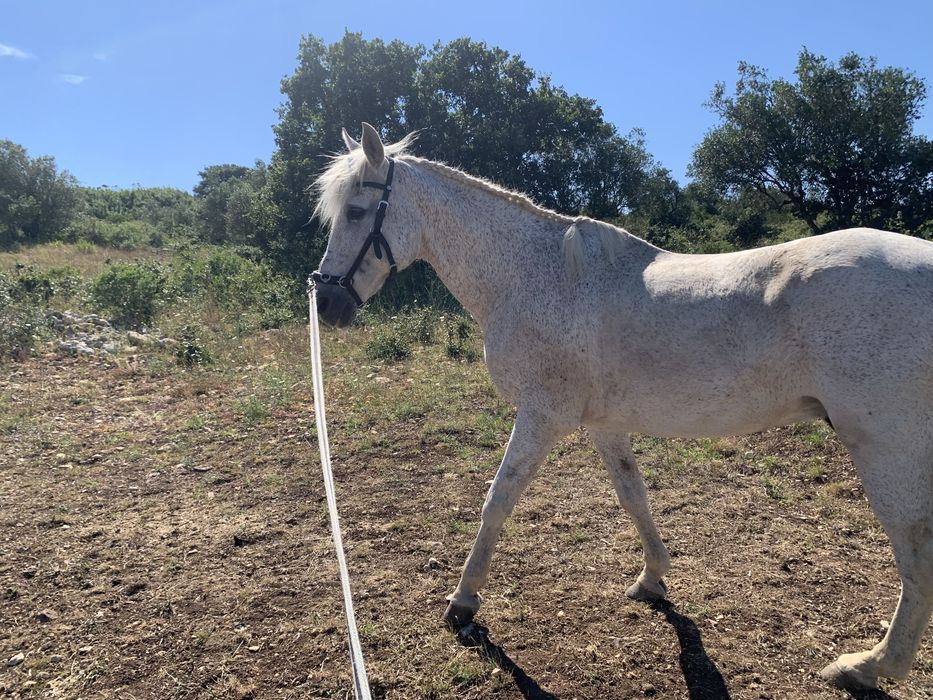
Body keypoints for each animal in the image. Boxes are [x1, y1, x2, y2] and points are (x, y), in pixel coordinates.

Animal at [311, 122, 933, 691]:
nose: (326, 301)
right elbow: (634, 496)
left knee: (915, 552)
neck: (535, 276)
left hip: (886, 450)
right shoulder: (604, 426)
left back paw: (869, 666)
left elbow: (497, 502)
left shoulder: (541, 418)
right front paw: (652, 579)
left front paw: (463, 603)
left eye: (359, 210)